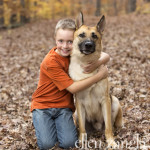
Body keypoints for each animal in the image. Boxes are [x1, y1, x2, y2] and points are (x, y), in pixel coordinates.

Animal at [69, 12, 123, 148]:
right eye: (82, 35)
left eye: (95, 36)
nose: (88, 45)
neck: (87, 63)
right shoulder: (79, 102)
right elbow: (82, 129)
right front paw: (81, 141)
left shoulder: (105, 100)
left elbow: (108, 127)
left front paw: (111, 142)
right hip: (76, 113)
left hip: (114, 101)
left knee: (113, 125)